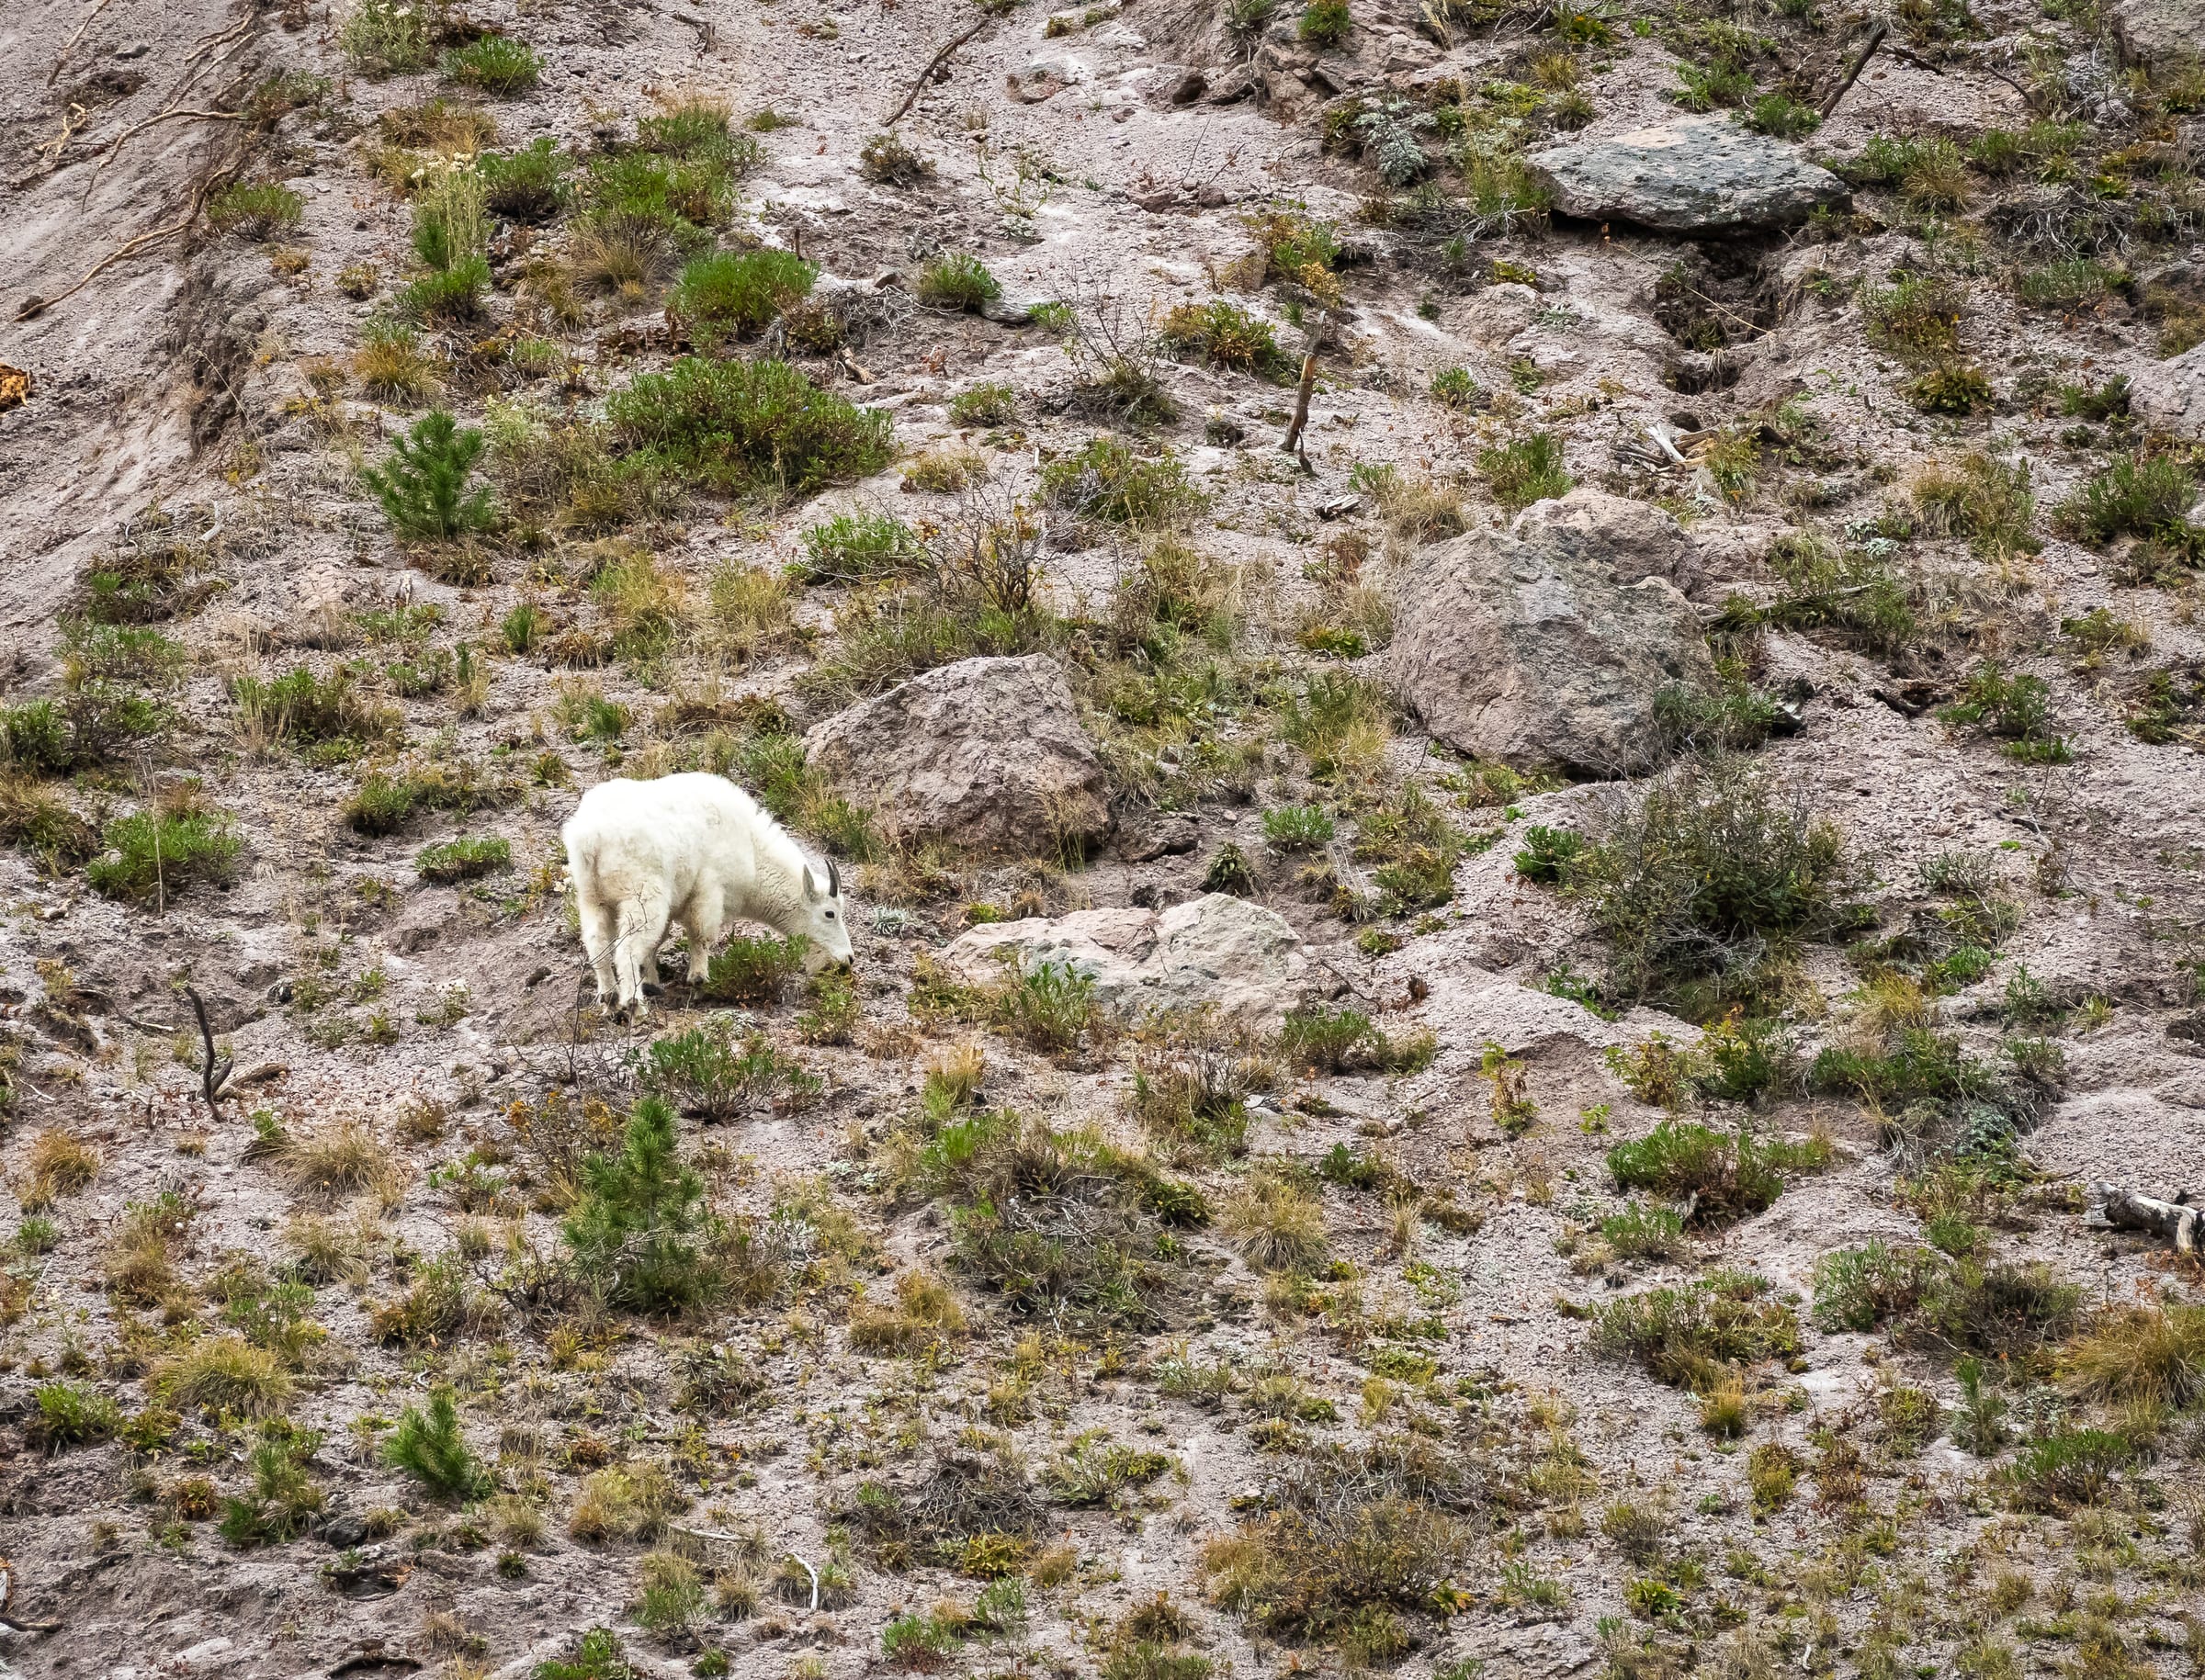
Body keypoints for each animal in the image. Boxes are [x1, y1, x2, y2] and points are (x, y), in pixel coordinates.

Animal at [561, 772, 854, 1018]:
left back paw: (610, 1000)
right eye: (830, 913)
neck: (751, 851)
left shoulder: (674, 902)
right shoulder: (710, 890)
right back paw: (634, 1005)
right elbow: (701, 935)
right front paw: (698, 982)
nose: (847, 960)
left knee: (597, 942)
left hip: (592, 898)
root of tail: (591, 839)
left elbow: (658, 942)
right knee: (627, 949)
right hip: (642, 895)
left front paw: (653, 982)